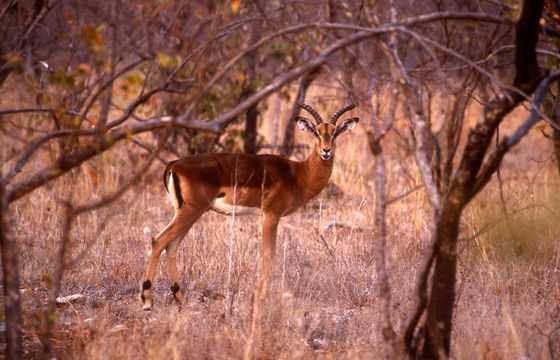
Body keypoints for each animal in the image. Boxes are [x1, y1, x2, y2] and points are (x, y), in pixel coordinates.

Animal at [141, 100, 358, 310]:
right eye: (316, 132)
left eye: (335, 132)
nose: (326, 151)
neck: (297, 174)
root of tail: (174, 165)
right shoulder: (271, 214)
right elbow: (269, 254)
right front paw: (263, 297)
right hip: (190, 211)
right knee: (159, 241)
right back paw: (147, 300)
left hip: (188, 213)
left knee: (171, 246)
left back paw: (180, 299)